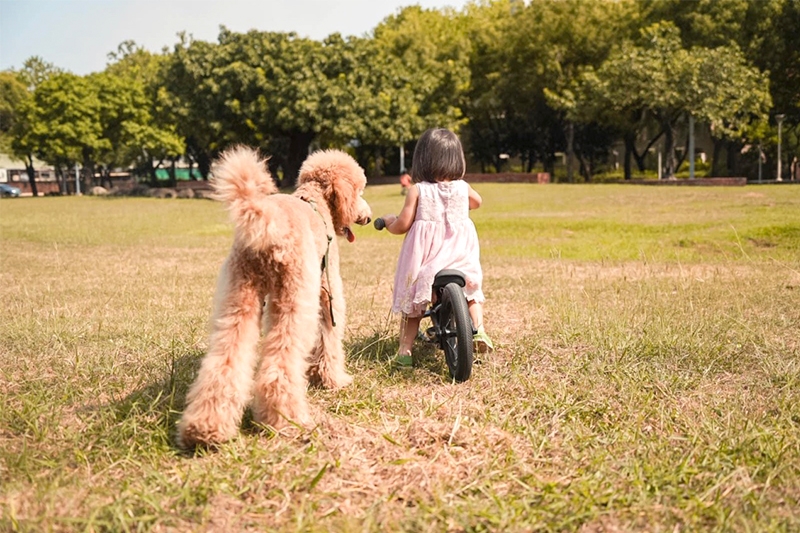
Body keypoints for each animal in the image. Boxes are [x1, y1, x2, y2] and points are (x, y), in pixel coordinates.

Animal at [178, 143, 372, 446]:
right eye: (360, 190)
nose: (369, 216)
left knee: (225, 359)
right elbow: (330, 335)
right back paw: (287, 421)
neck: (316, 202)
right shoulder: (328, 288)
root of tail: (268, 221)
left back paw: (205, 429)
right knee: (281, 363)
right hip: (294, 294)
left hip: (239, 294)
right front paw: (332, 380)